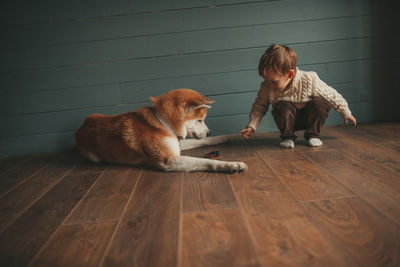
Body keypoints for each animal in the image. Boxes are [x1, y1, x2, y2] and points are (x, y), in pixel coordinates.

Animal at [76, 89, 247, 173]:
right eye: (200, 120)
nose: (209, 132)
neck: (163, 123)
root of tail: (80, 128)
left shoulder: (177, 144)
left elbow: (206, 141)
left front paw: (231, 137)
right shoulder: (169, 160)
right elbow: (206, 161)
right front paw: (232, 165)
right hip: (93, 156)